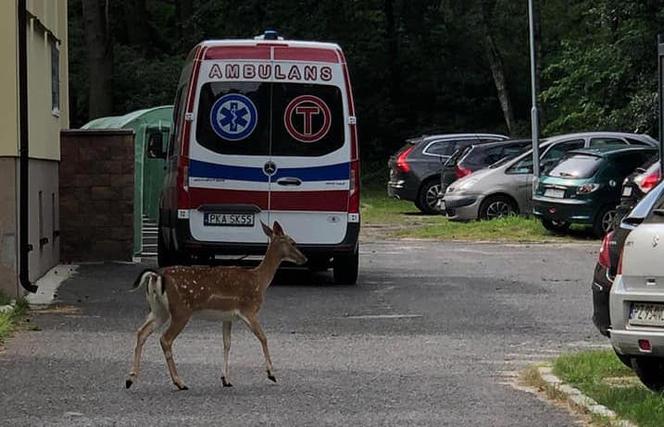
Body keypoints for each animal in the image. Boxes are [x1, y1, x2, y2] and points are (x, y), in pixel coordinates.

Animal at [126, 221, 308, 392]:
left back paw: (130, 379)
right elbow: (263, 337)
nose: (304, 259)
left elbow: (227, 343)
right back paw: (179, 382)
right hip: (181, 310)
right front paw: (271, 374)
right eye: (293, 242)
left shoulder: (228, 317)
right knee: (165, 338)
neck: (259, 280)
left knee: (141, 332)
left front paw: (225, 379)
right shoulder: (248, 310)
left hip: (159, 310)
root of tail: (156, 276)